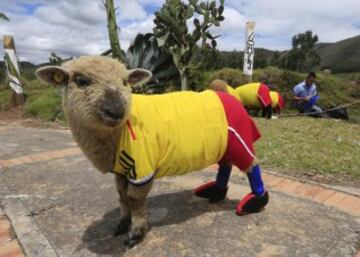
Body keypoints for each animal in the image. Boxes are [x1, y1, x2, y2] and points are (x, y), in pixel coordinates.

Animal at [36, 56, 268, 246]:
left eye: (125, 82)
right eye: (81, 81)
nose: (117, 110)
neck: (119, 132)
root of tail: (225, 94)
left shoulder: (141, 166)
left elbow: (135, 200)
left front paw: (136, 233)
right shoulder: (121, 170)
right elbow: (122, 196)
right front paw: (122, 224)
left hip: (237, 139)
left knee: (252, 166)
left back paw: (256, 201)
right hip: (223, 144)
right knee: (226, 166)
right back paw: (216, 192)